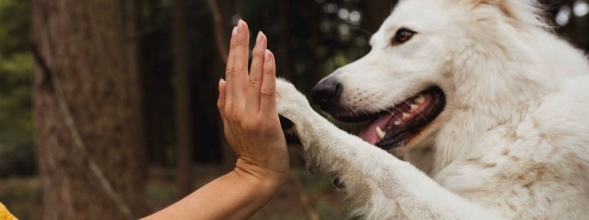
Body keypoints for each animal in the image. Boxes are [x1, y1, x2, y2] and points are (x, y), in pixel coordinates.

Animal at [274, 0, 588, 218]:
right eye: (372, 45)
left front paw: (292, 104)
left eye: (403, 35)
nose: (320, 94)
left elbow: (387, 166)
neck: (506, 118)